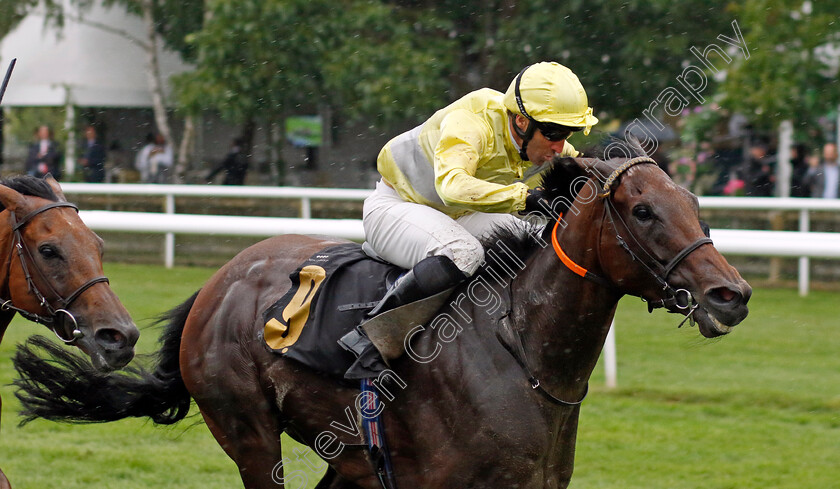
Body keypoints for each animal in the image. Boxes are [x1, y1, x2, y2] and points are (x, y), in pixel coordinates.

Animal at [14, 158, 748, 486]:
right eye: (644, 210)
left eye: (692, 201)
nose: (731, 294)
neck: (523, 355)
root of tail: (219, 281)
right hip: (247, 428)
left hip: (354, 461)